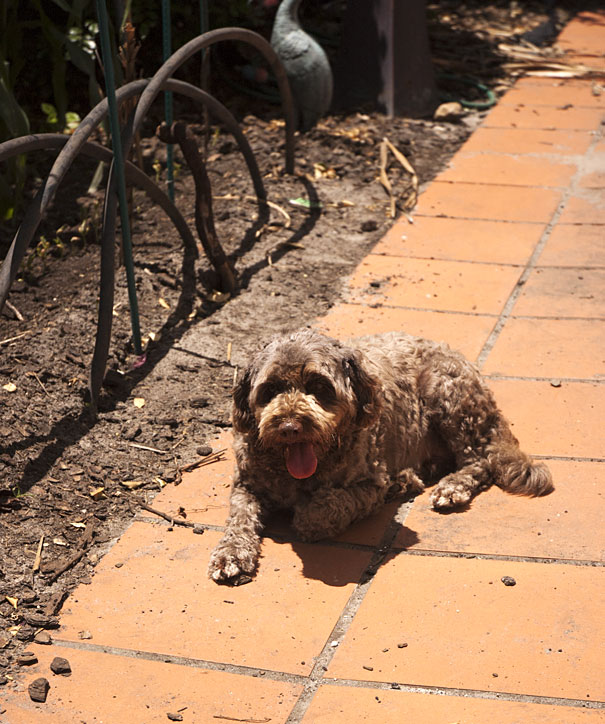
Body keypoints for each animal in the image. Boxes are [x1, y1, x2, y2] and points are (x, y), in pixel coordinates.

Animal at [209, 328, 552, 584]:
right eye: (270, 390)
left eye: (319, 386)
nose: (290, 427)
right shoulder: (246, 486)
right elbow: (239, 518)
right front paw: (231, 553)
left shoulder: (369, 485)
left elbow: (322, 509)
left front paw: (307, 514)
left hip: (446, 394)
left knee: (479, 461)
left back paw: (449, 487)